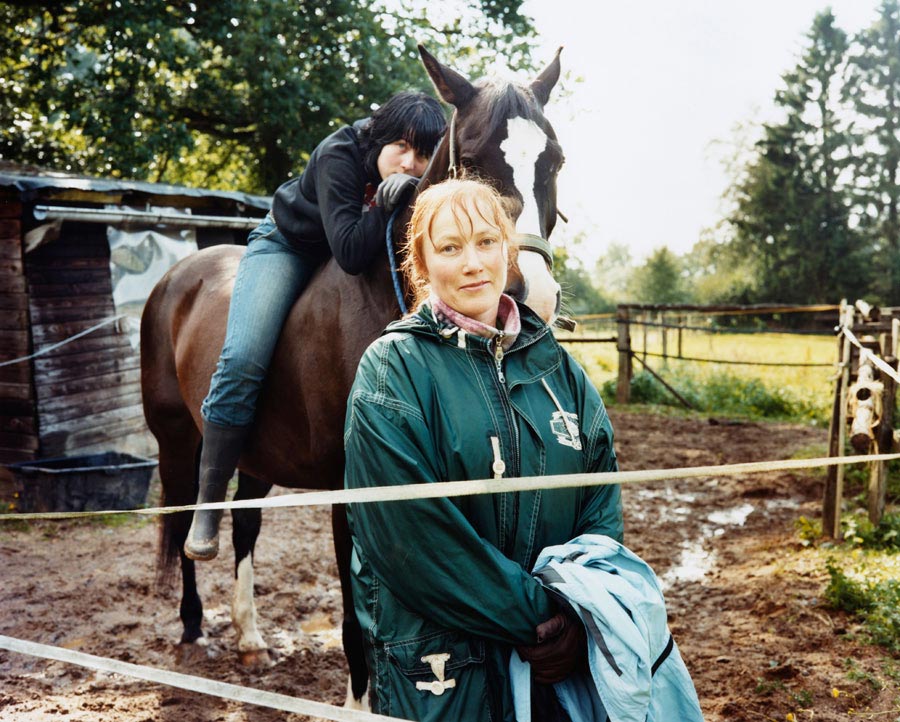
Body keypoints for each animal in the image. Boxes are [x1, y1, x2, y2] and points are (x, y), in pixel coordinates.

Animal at [140, 45, 564, 704]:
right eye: (470, 161)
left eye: (556, 161)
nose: (531, 293)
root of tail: (176, 277)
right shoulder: (354, 486)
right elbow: (356, 619)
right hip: (179, 440)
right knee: (188, 518)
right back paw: (191, 627)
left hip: (256, 453)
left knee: (246, 526)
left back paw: (250, 639)